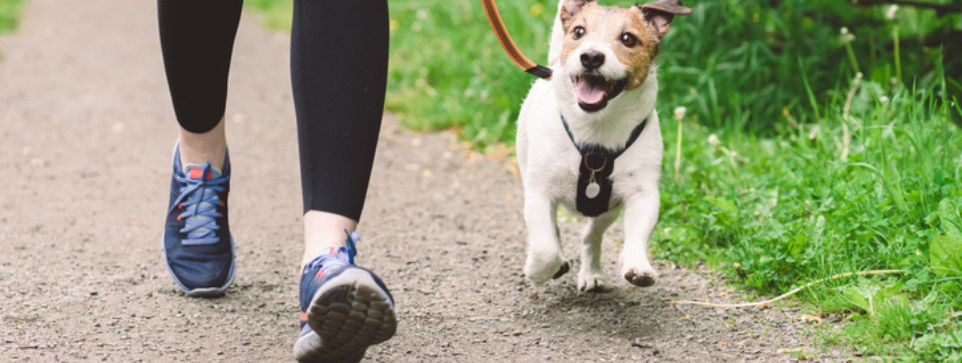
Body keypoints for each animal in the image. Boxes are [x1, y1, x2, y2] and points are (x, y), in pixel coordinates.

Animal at [516, 0, 688, 292]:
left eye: (628, 39)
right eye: (578, 32)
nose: (592, 57)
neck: (596, 134)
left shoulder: (642, 193)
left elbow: (638, 232)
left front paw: (637, 265)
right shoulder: (539, 193)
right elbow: (545, 247)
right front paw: (538, 271)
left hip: (607, 210)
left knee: (591, 237)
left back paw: (592, 273)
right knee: (553, 233)